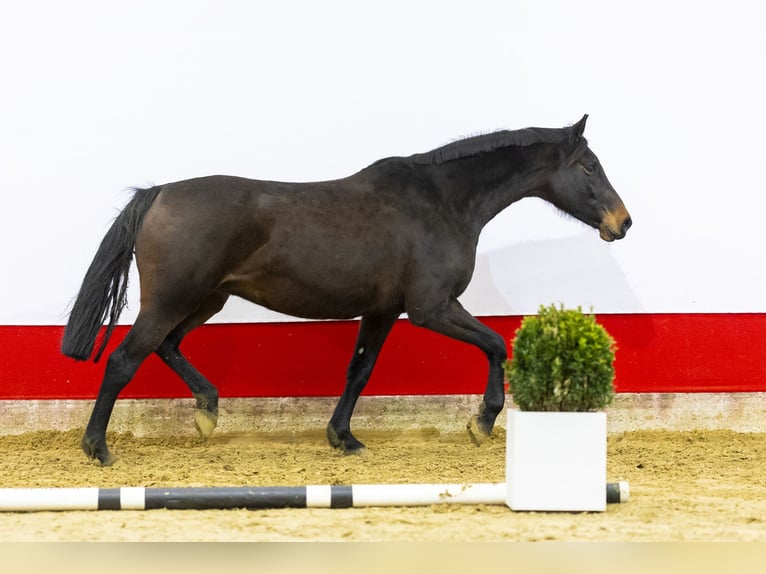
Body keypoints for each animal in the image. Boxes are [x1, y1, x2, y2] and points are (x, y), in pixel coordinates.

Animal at [63, 115, 632, 466]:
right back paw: (98, 448)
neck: (441, 203)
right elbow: (495, 344)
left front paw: (344, 438)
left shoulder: (383, 311)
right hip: (172, 300)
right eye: (589, 166)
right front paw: (483, 422)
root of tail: (157, 194)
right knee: (124, 360)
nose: (622, 222)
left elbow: (359, 372)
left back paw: (207, 411)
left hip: (206, 300)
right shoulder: (431, 308)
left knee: (167, 346)